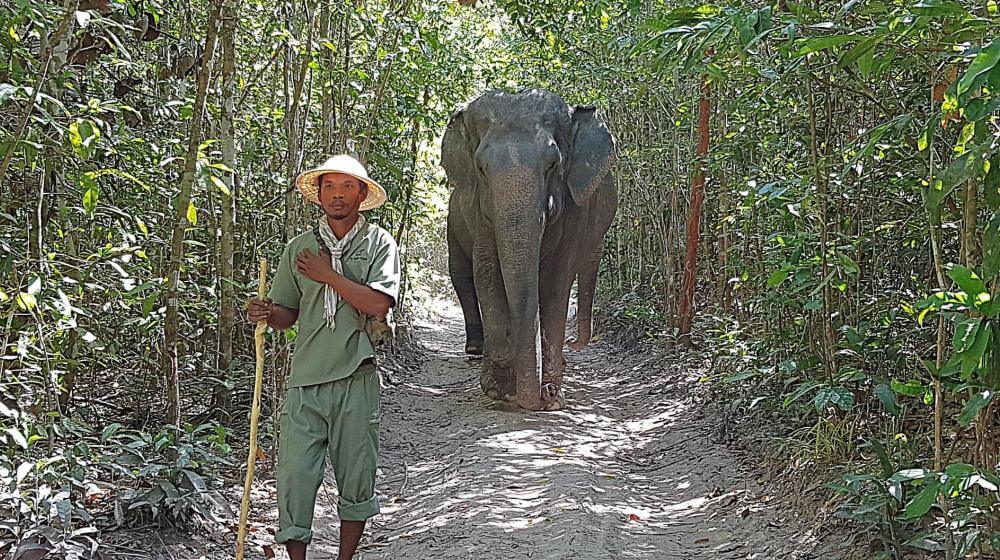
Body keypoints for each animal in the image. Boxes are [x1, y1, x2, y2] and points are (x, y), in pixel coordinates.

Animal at [441, 89, 618, 411]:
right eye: (481, 168)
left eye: (552, 164)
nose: (537, 396)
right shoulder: (478, 212)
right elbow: (487, 272)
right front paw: (499, 387)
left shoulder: (576, 211)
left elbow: (557, 284)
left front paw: (552, 397)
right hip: (453, 223)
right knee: (461, 276)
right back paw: (476, 349)